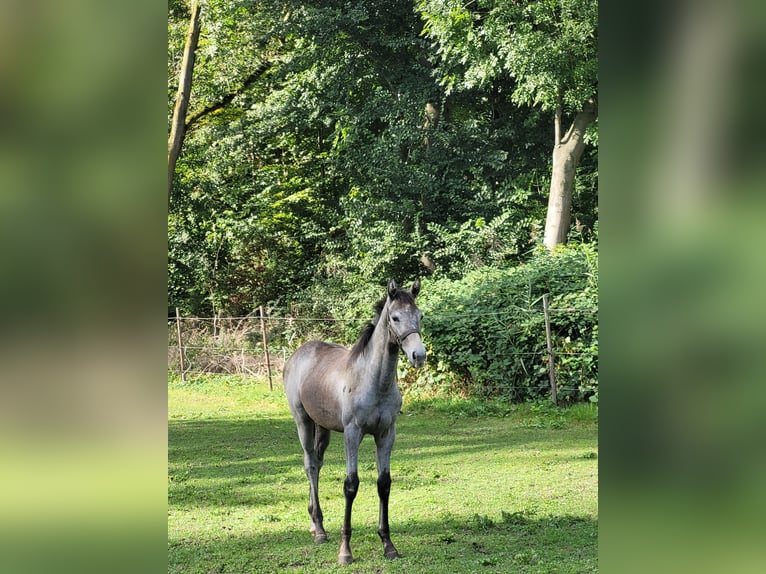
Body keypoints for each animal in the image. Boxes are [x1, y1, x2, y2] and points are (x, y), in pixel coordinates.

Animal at [284, 280, 426, 568]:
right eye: (395, 317)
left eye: (420, 316)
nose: (419, 355)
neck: (373, 381)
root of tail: (297, 354)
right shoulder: (353, 432)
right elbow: (351, 485)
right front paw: (345, 551)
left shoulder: (386, 433)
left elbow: (384, 483)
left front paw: (388, 545)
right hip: (303, 421)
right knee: (310, 464)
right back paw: (319, 529)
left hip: (323, 427)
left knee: (317, 463)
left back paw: (314, 523)